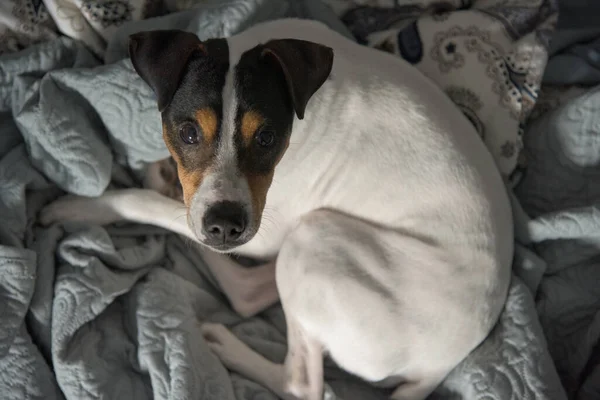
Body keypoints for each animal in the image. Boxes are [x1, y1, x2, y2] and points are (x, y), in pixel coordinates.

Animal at [39, 18, 512, 400]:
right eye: (188, 133)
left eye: (266, 137)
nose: (224, 227)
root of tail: (440, 366)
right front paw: (163, 173)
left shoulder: (259, 231)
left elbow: (146, 204)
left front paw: (85, 207)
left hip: (314, 239)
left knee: (291, 368)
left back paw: (222, 337)